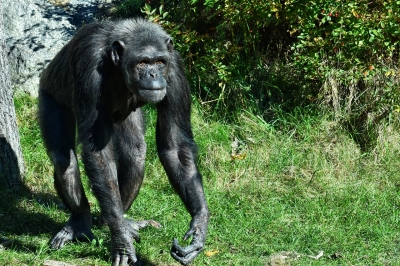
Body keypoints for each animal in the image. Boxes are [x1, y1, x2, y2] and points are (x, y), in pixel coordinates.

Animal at [38, 17, 209, 264]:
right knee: (63, 159)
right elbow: (98, 152)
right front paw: (122, 242)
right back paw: (80, 224)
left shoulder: (175, 71)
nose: (153, 75)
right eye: (143, 62)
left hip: (125, 119)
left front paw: (199, 223)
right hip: (49, 95)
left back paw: (118, 220)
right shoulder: (88, 65)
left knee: (135, 154)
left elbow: (176, 145)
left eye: (159, 62)